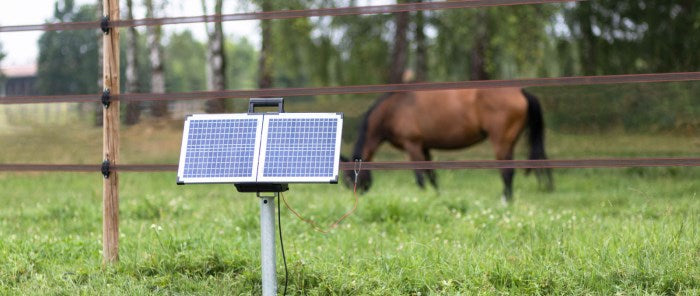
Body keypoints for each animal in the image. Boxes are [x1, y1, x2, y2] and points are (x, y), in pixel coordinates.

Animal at [344, 88, 552, 204]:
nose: (358, 195)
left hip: (501, 142)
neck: (394, 108)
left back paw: (505, 201)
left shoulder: (412, 146)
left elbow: (420, 178)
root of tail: (521, 92)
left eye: (348, 179)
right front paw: (436, 197)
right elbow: (432, 176)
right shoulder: (424, 147)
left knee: (507, 173)